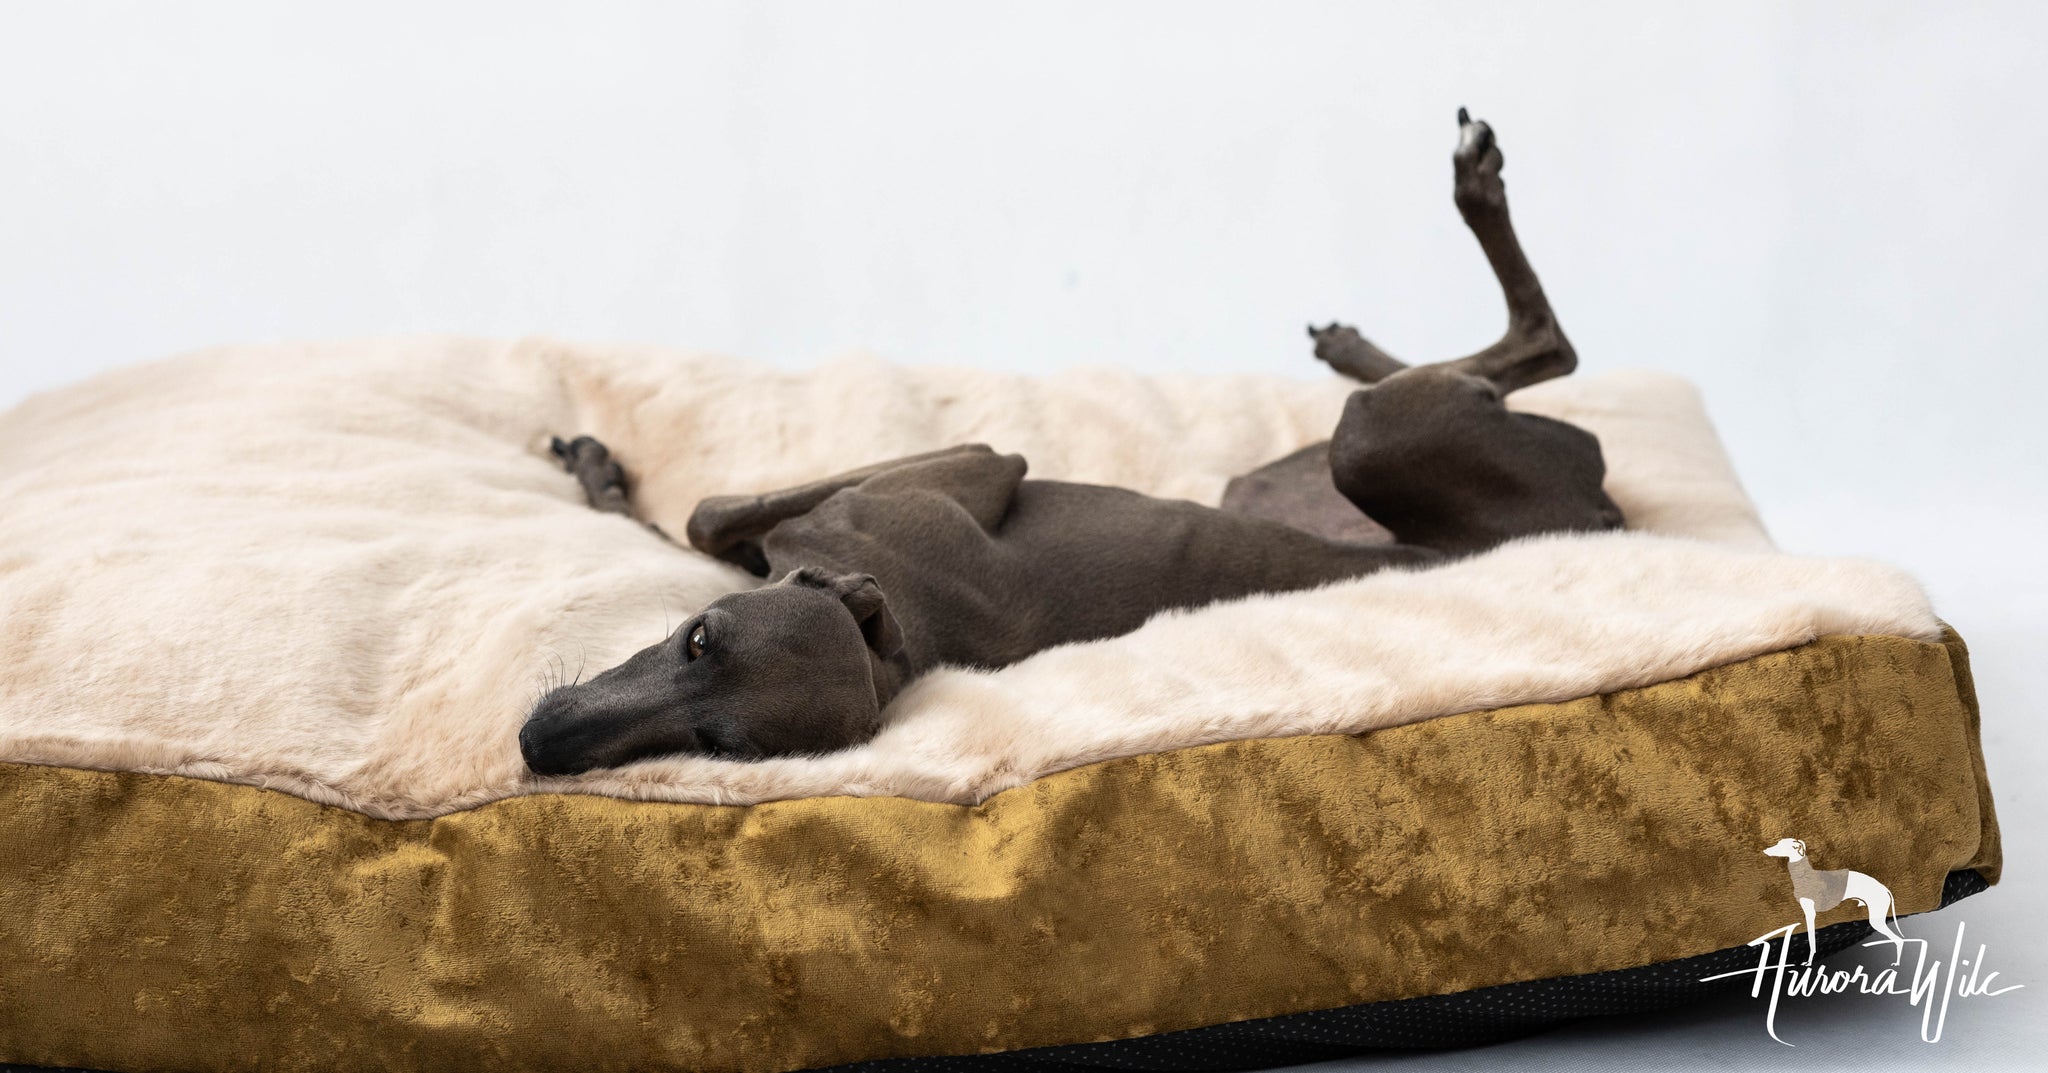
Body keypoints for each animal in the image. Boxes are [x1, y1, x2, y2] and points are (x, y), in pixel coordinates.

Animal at [516, 111, 1613, 778]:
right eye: (696, 638)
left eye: (722, 747)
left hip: (1369, 441)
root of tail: (1598, 516)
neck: (893, 626)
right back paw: (1354, 345)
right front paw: (602, 476)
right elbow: (693, 525)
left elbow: (710, 512)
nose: (537, 740)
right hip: (1280, 476)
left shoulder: (973, 462)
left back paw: (1472, 192)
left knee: (1545, 343)